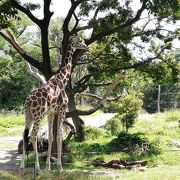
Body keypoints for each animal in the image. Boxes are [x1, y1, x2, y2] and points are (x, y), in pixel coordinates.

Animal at [20, 34, 89, 174]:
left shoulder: (51, 113)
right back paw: (37, 168)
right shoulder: (62, 109)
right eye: (80, 41)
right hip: (38, 115)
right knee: (33, 136)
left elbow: (51, 136)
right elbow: (59, 135)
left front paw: (48, 167)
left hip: (28, 115)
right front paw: (59, 167)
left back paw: (23, 167)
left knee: (25, 136)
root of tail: (28, 101)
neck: (62, 80)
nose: (87, 47)